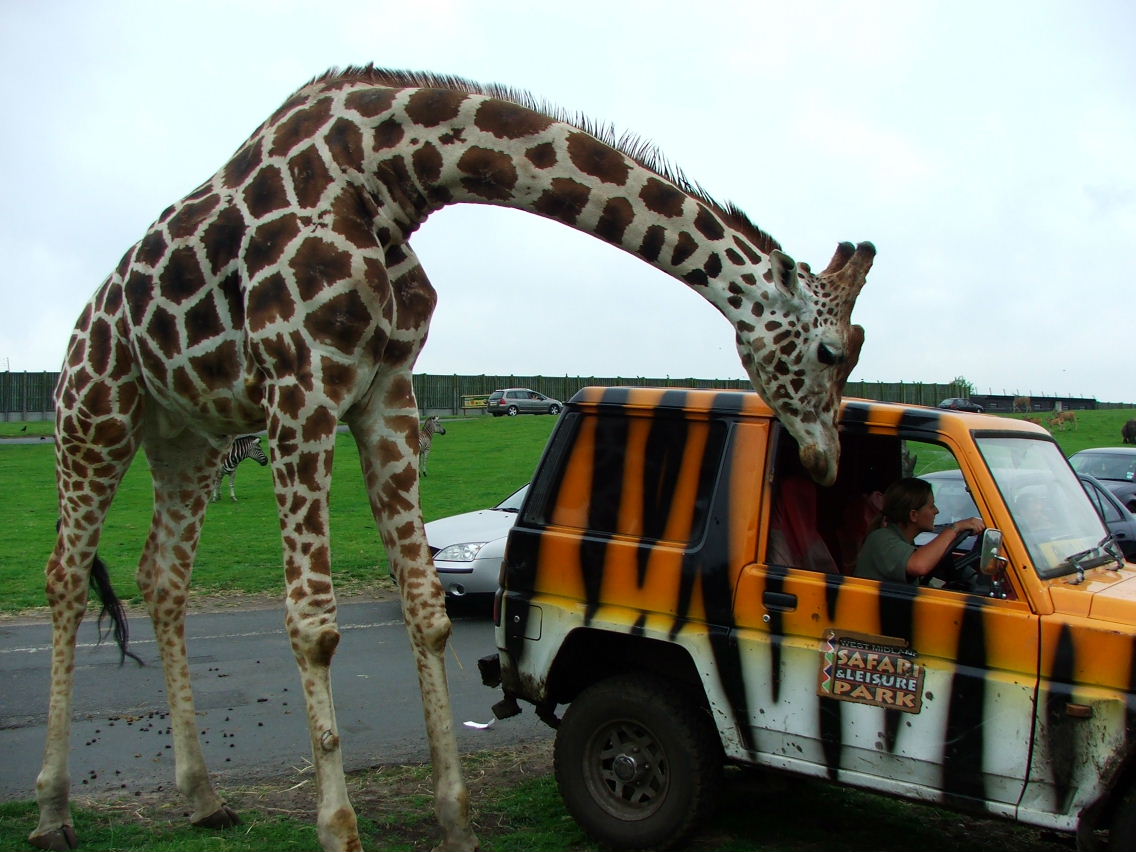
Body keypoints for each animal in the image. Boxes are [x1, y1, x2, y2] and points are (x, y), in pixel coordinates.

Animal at [31, 66, 872, 852]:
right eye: (832, 351)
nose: (826, 461)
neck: (384, 171)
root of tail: (84, 327)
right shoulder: (302, 388)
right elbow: (313, 623)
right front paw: (339, 829)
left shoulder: (387, 395)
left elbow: (429, 613)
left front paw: (456, 819)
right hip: (96, 414)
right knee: (66, 575)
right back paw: (52, 811)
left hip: (191, 438)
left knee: (161, 579)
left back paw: (203, 798)